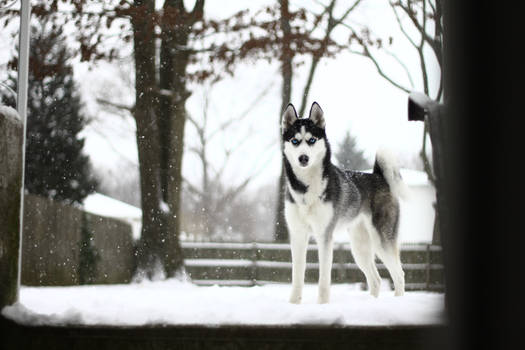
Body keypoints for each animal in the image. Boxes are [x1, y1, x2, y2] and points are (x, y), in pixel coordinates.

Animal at [282, 102, 406, 304]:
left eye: (312, 140)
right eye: (295, 141)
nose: (303, 158)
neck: (306, 188)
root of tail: (378, 176)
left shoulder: (324, 235)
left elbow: (324, 279)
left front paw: (322, 305)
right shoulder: (298, 235)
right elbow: (297, 275)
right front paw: (294, 304)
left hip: (382, 240)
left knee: (399, 275)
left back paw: (397, 300)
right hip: (359, 247)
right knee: (376, 279)